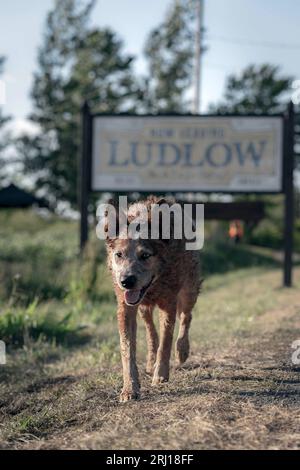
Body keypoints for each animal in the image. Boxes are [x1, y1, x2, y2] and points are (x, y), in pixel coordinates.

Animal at [104, 196, 200, 402]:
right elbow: (127, 349)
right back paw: (150, 361)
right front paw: (129, 389)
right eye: (119, 254)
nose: (126, 281)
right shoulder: (125, 308)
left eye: (145, 255)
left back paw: (182, 350)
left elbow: (166, 342)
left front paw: (161, 375)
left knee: (186, 317)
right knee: (150, 331)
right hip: (143, 308)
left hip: (189, 290)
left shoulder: (168, 303)